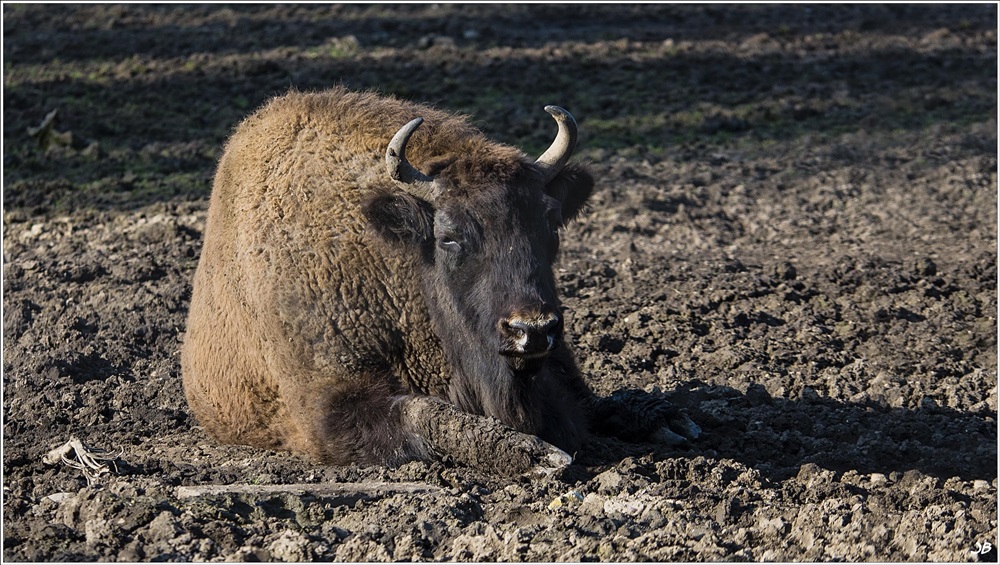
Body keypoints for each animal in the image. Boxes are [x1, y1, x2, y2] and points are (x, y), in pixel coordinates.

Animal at [180, 88, 700, 474]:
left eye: (550, 223)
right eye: (448, 236)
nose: (530, 329)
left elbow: (593, 402)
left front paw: (674, 421)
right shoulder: (328, 410)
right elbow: (424, 414)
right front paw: (538, 455)